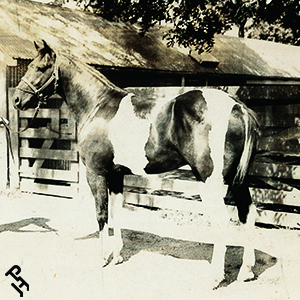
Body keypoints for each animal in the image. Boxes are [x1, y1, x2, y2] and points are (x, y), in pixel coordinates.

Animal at [12, 40, 258, 288]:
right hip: (238, 179)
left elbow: (101, 214)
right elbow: (116, 213)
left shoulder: (96, 173)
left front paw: (103, 257)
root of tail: (238, 107)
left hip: (210, 181)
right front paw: (117, 255)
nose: (16, 100)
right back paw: (246, 271)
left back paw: (215, 277)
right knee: (247, 214)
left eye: (40, 67)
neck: (98, 106)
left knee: (222, 220)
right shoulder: (117, 175)